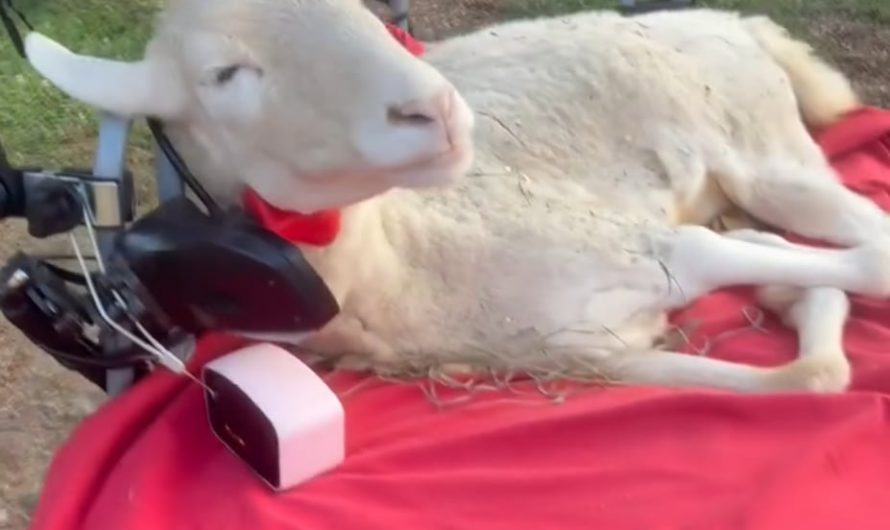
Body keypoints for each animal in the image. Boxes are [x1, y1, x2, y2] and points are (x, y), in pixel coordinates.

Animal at [22, 0, 890, 393]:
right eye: (225, 74)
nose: (435, 108)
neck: (400, 259)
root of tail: (730, 19)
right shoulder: (599, 352)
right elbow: (807, 372)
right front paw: (794, 296)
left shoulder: (642, 245)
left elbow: (860, 275)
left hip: (768, 152)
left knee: (866, 232)